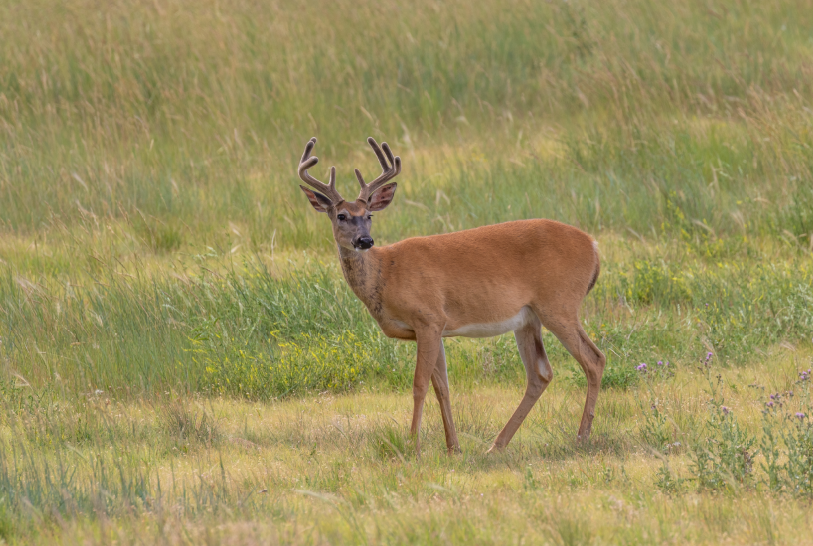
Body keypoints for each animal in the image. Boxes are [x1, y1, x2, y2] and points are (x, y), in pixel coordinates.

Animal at [297, 137, 605, 455]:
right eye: (341, 215)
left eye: (369, 215)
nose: (365, 240)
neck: (385, 274)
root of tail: (594, 246)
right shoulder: (433, 329)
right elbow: (442, 387)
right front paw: (453, 447)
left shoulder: (428, 318)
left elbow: (419, 385)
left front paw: (412, 445)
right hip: (528, 318)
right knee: (540, 373)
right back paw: (496, 445)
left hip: (559, 304)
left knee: (594, 360)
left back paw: (581, 437)